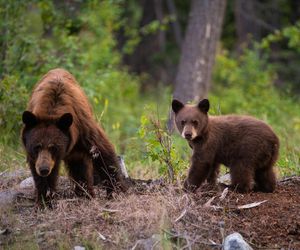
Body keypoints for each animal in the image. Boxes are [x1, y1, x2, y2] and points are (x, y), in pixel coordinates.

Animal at [21, 69, 129, 205]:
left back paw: (86, 194)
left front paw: (117, 191)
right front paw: (44, 200)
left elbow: (103, 153)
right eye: (37, 147)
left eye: (53, 147)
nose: (44, 169)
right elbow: (41, 177)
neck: (51, 111)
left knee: (80, 167)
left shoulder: (83, 128)